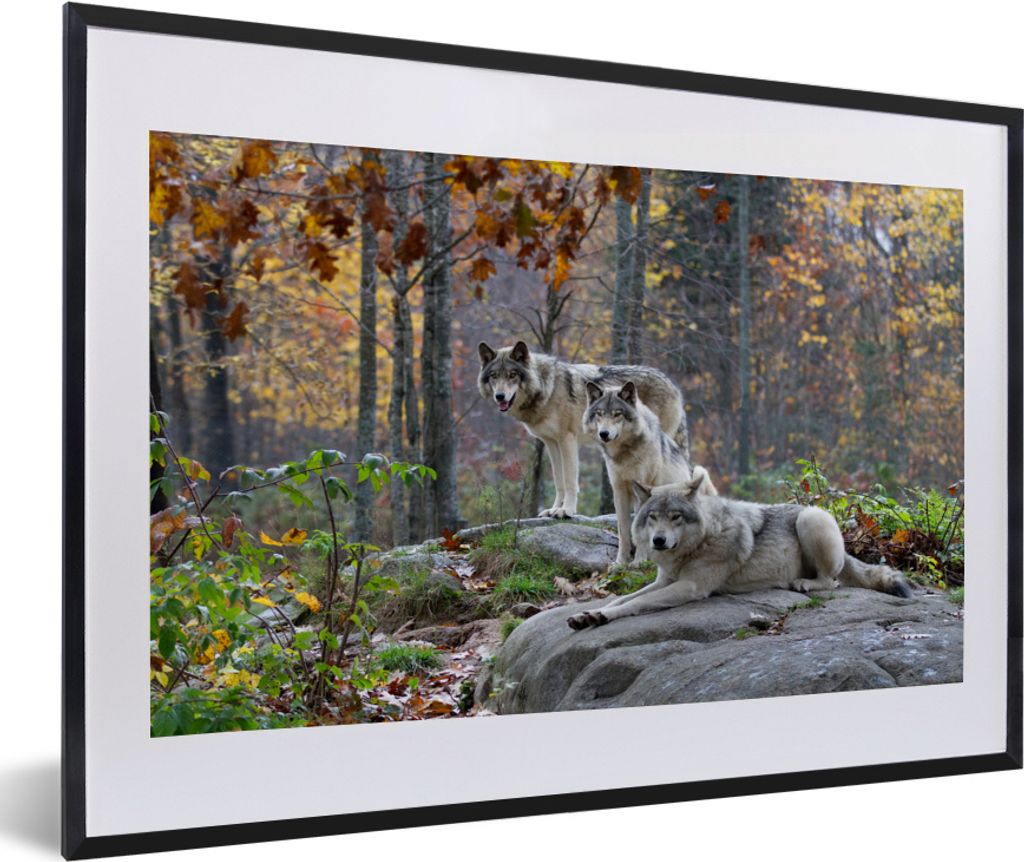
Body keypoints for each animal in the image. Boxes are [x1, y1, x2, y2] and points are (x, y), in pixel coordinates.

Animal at [478, 341, 689, 519]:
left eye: (512, 375)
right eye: (494, 376)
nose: (500, 396)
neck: (547, 388)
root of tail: (673, 385)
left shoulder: (567, 440)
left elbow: (570, 480)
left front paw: (567, 511)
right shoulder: (551, 442)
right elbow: (559, 481)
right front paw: (554, 509)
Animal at [567, 467, 912, 630]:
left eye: (676, 516)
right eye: (653, 517)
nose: (659, 541)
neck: (701, 541)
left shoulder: (690, 587)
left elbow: (634, 604)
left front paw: (602, 615)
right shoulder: (664, 580)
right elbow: (621, 599)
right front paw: (589, 614)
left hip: (811, 518)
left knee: (832, 581)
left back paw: (803, 583)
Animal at [583, 380, 716, 567]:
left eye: (617, 414)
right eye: (599, 414)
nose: (604, 434)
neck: (625, 454)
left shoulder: (643, 490)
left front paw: (639, 561)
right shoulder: (619, 491)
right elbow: (624, 531)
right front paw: (620, 562)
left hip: (699, 471)